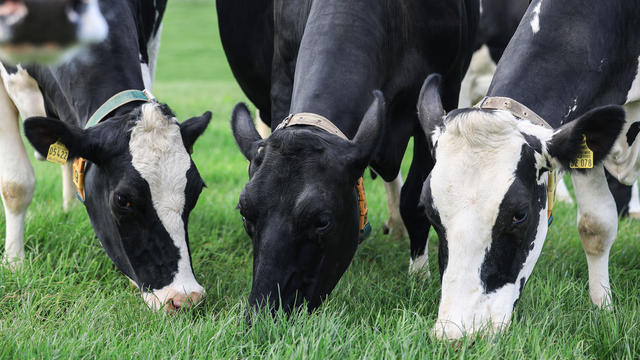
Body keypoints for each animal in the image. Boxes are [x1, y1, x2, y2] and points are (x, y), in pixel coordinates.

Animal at [218, 0, 478, 314]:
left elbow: (415, 201)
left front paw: (419, 277)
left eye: (322, 221)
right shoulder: (281, 78)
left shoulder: (446, 89)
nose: (264, 310)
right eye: (245, 213)